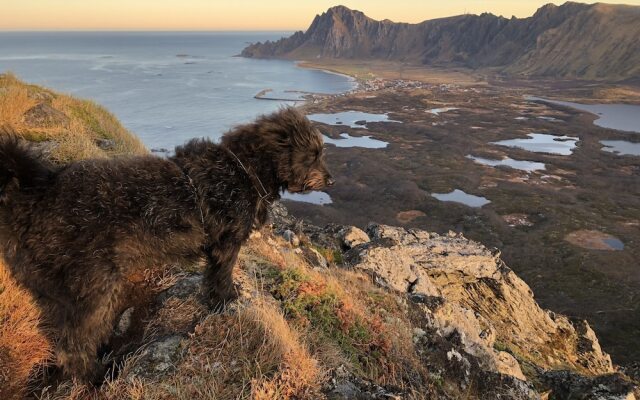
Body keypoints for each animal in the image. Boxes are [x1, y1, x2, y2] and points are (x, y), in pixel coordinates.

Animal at [0, 108, 332, 382]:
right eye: (313, 154)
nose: (330, 180)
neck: (243, 171)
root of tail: (37, 193)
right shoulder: (227, 244)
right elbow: (222, 275)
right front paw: (227, 299)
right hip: (93, 285)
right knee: (74, 346)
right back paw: (97, 376)